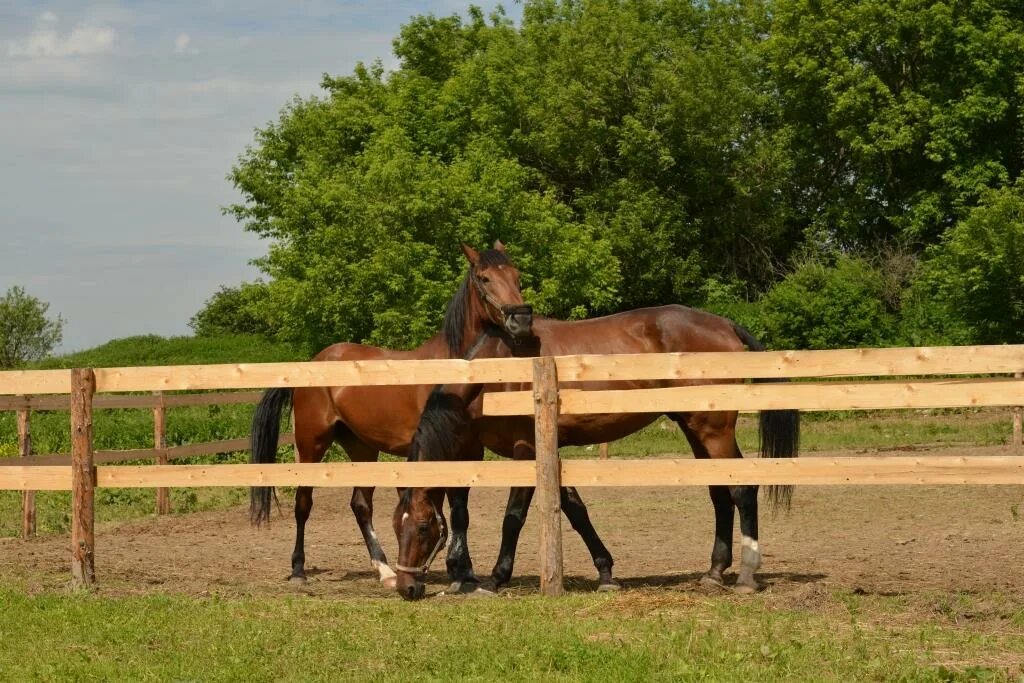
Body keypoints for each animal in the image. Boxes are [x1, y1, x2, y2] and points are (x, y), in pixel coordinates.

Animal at [251, 240, 614, 593]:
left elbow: (461, 511)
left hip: (362, 448)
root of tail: (314, 361)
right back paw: (299, 571)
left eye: (517, 276)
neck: (455, 372)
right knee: (303, 502)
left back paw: (386, 571)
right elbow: (455, 508)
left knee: (360, 505)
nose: (521, 319)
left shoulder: (469, 449)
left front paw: (464, 573)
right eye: (484, 278)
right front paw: (459, 572)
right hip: (312, 444)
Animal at [391, 260, 798, 598]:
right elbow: (575, 509)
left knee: (742, 489)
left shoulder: (526, 450)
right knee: (719, 493)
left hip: (714, 429)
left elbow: (513, 518)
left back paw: (746, 575)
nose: (407, 587)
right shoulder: (547, 454)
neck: (496, 370)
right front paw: (606, 574)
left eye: (425, 527)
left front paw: (495, 579)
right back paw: (714, 571)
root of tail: (725, 324)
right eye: (397, 525)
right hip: (694, 427)